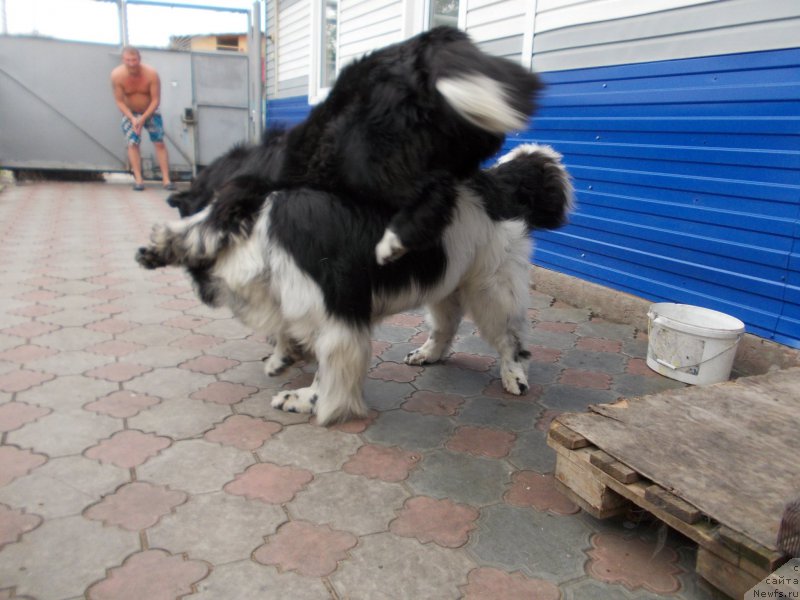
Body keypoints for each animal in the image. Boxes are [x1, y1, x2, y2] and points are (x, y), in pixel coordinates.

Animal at [139, 145, 576, 424]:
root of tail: (497, 180)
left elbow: (329, 369)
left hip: (491, 286)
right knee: (447, 322)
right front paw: (283, 355)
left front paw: (308, 401)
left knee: (509, 336)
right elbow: (288, 329)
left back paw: (513, 375)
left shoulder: (337, 312)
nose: (146, 251)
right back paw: (429, 354)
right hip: (446, 272)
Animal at [169, 25, 544, 264]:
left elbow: (218, 211)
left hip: (363, 159)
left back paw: (393, 242)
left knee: (434, 190)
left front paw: (197, 238)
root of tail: (430, 43)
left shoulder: (241, 187)